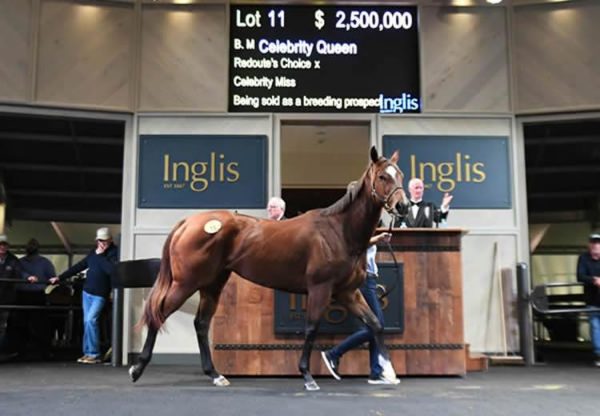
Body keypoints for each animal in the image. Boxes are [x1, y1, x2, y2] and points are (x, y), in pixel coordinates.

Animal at [130, 146, 408, 390]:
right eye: (383, 176)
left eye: (401, 175)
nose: (403, 206)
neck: (338, 231)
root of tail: (188, 222)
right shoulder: (320, 289)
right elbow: (311, 328)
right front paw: (307, 376)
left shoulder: (347, 292)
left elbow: (375, 324)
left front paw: (387, 371)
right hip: (186, 283)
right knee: (159, 312)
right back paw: (137, 369)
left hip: (212, 284)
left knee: (201, 323)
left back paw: (215, 375)